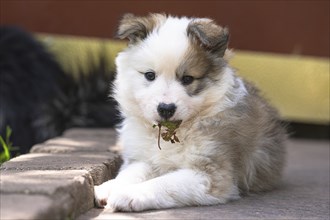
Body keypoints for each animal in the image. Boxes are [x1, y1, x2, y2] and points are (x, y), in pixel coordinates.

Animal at [94, 13, 284, 211]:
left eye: (187, 79)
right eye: (149, 75)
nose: (166, 108)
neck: (177, 131)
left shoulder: (210, 174)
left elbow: (164, 183)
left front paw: (129, 195)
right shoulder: (144, 159)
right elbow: (130, 173)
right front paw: (110, 187)